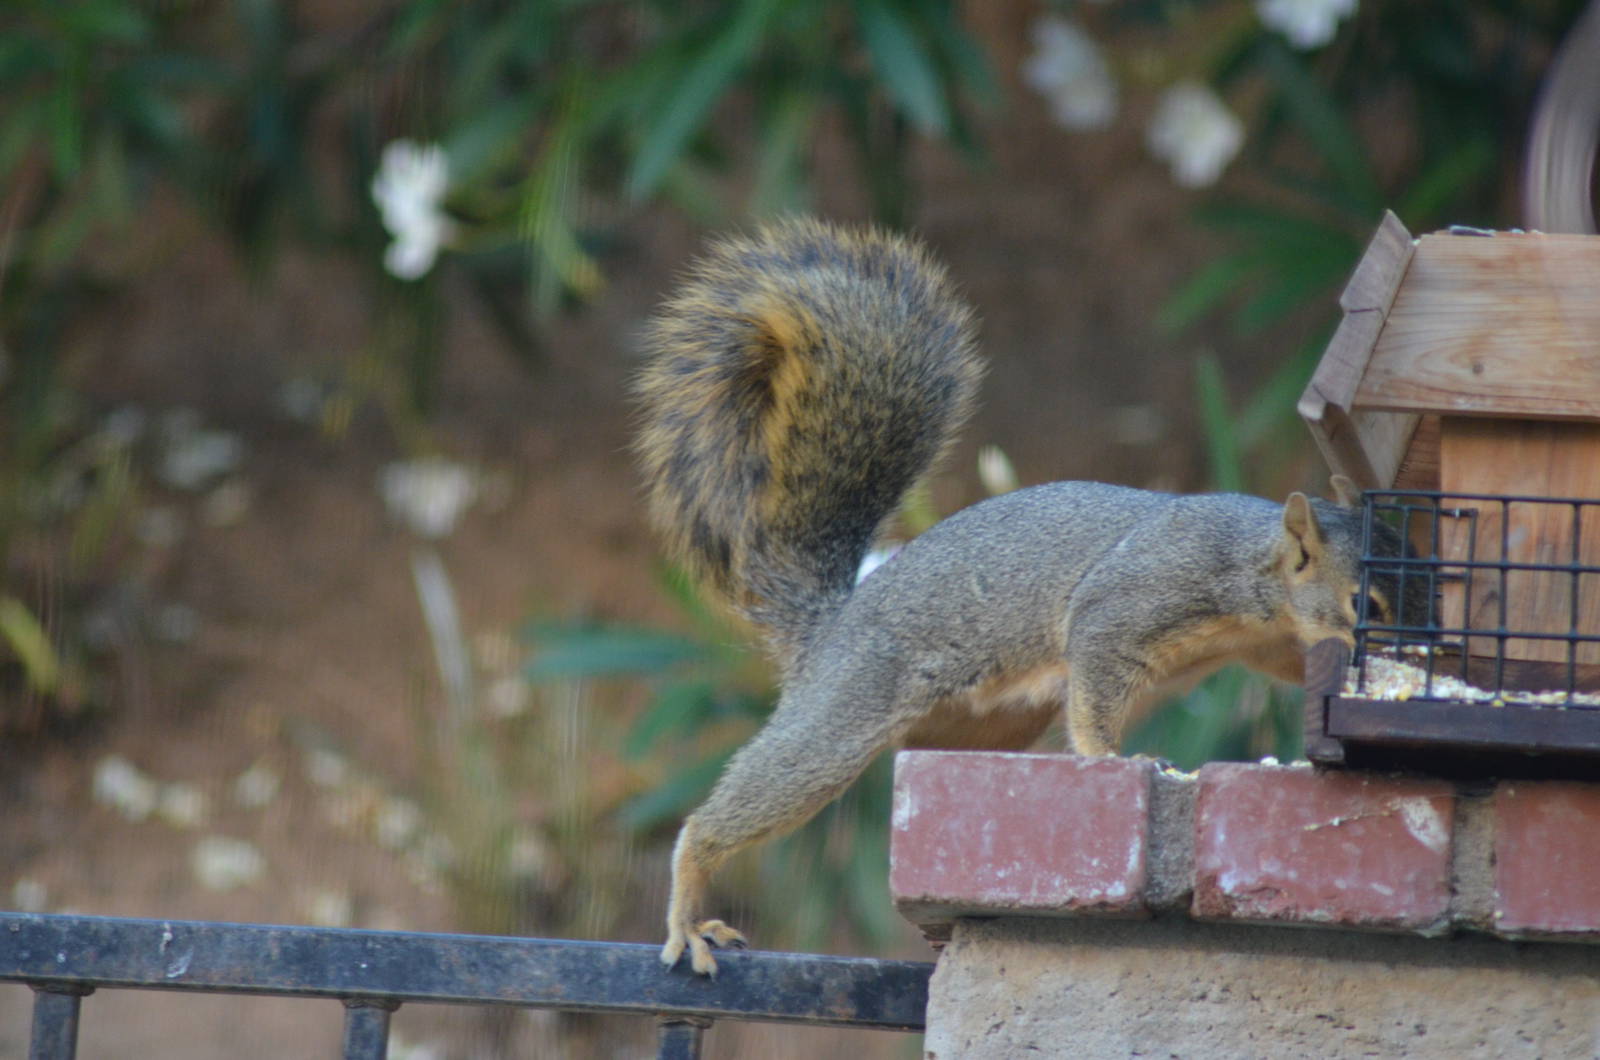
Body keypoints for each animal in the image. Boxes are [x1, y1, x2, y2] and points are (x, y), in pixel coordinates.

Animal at [634, 218, 1420, 976]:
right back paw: (688, 908)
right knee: (744, 801)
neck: (1252, 572)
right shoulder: (1133, 601)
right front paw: (1113, 758)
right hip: (845, 708)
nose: (1415, 647)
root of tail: (831, 623)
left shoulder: (1268, 641)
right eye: (1365, 605)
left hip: (982, 725)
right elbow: (1097, 683)